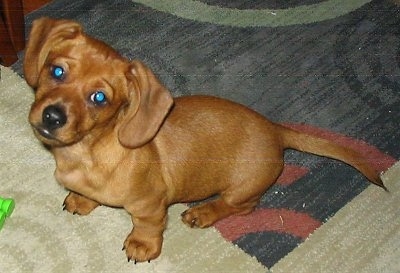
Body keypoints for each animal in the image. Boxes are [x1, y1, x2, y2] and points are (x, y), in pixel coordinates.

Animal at [23, 16, 386, 262]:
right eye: (57, 71)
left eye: (99, 98)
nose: (52, 117)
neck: (88, 151)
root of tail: (276, 129)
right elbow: (88, 195)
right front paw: (82, 200)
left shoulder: (150, 206)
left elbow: (147, 226)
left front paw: (142, 246)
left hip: (242, 188)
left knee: (243, 207)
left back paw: (204, 212)